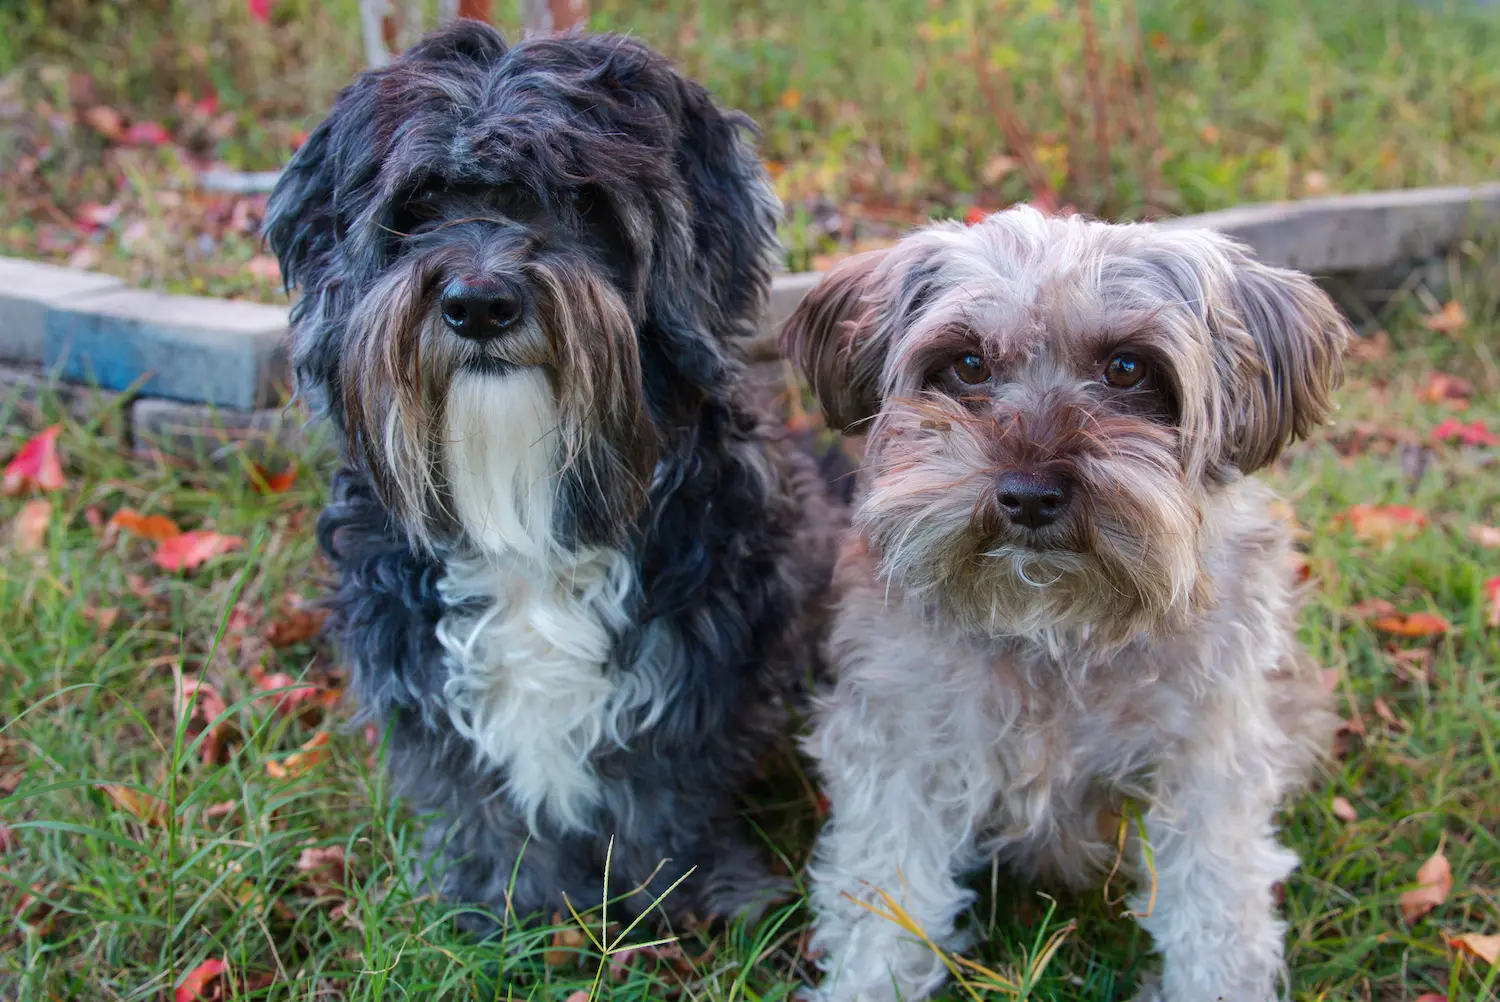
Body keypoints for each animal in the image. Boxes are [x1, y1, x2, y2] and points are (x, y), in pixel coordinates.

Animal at [264, 21, 840, 930]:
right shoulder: (416, 664)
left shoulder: (697, 656)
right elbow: (478, 803)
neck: (524, 517)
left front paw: (683, 896)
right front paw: (497, 907)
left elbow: (664, 792)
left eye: (585, 202)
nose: (478, 303)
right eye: (418, 205)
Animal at [786, 205, 1350, 1002]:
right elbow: (884, 901)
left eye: (1127, 368)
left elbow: (1216, 912)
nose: (1029, 496)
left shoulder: (1208, 765)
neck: (1058, 634)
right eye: (968, 364)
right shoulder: (902, 750)